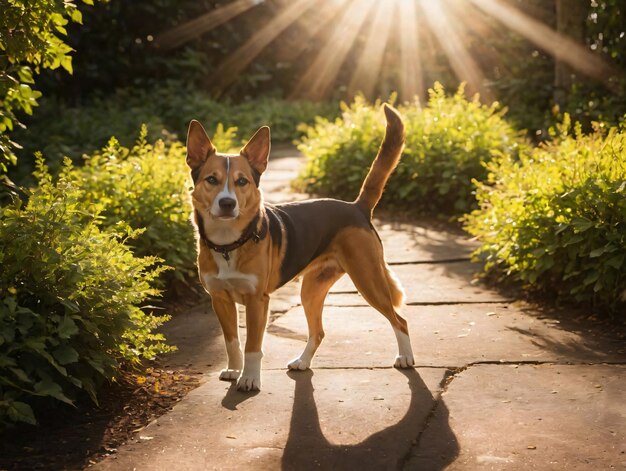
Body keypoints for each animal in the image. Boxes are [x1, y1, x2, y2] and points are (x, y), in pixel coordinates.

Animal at [185, 105, 414, 392]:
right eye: (211, 179)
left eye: (242, 182)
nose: (227, 203)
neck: (230, 243)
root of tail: (356, 207)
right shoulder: (220, 300)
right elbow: (231, 341)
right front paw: (234, 369)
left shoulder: (257, 301)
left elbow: (252, 346)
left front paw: (249, 377)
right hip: (310, 291)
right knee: (318, 331)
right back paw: (303, 362)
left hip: (368, 280)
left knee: (400, 320)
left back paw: (406, 357)